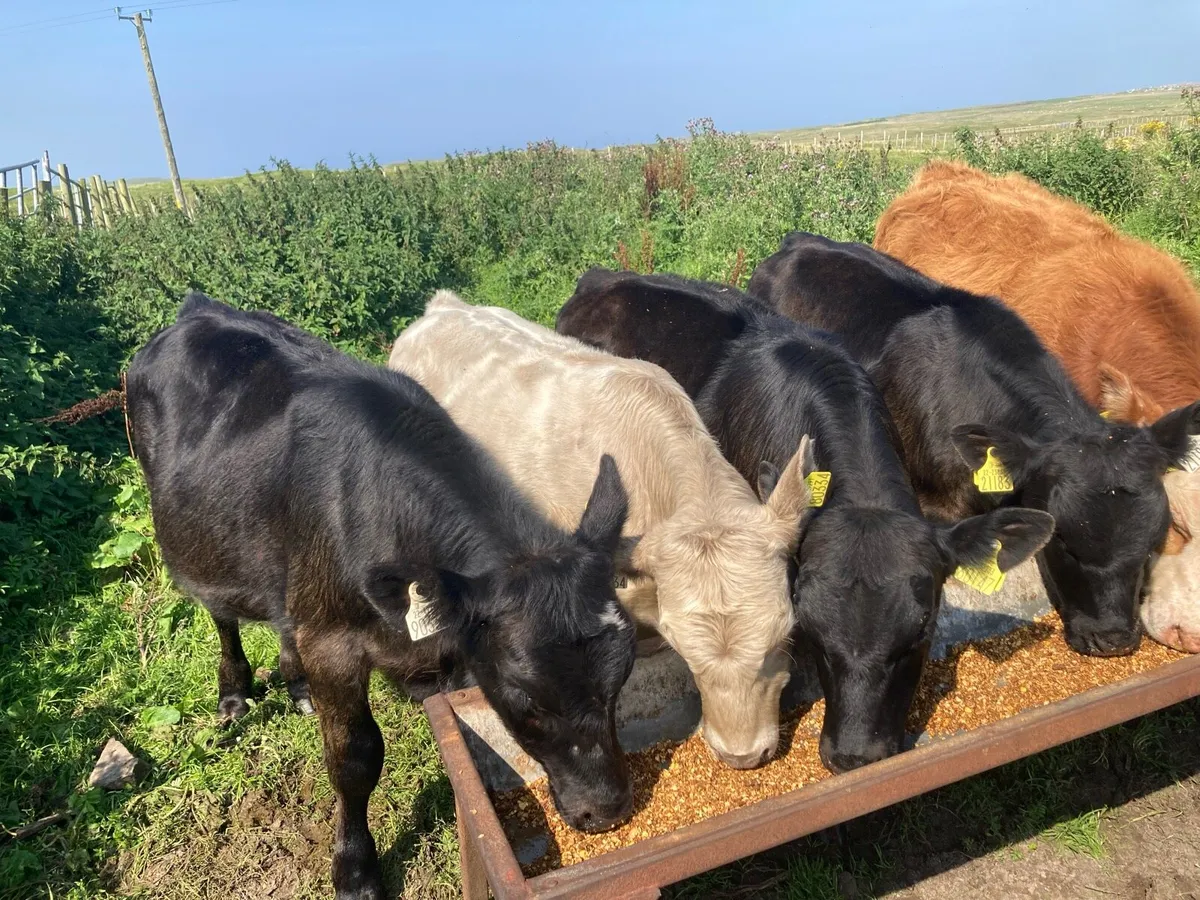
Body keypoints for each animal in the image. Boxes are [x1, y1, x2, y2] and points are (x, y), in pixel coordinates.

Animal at [127, 293, 638, 900]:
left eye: (621, 680)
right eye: (526, 700)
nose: (607, 812)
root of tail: (197, 308)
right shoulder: (333, 642)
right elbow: (354, 758)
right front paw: (355, 871)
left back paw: (297, 684)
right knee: (221, 615)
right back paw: (234, 694)